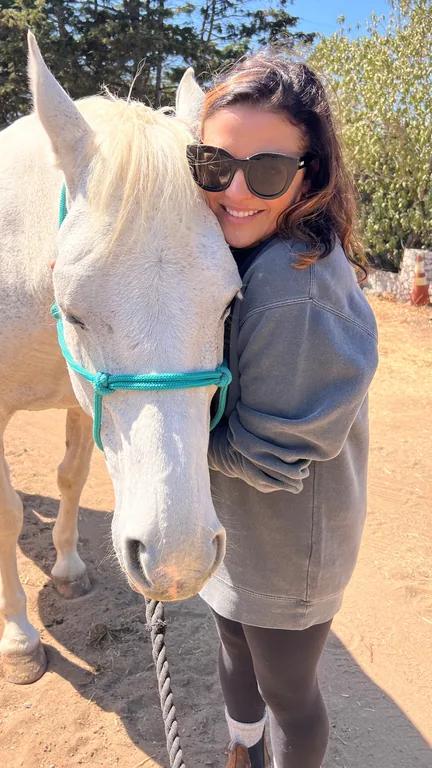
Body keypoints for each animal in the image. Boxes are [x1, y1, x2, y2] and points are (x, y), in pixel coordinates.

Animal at [0, 32, 241, 684]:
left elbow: (71, 475)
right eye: (75, 312)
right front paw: (19, 638)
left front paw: (67, 570)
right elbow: (6, 513)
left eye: (229, 304)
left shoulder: (82, 401)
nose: (177, 560)